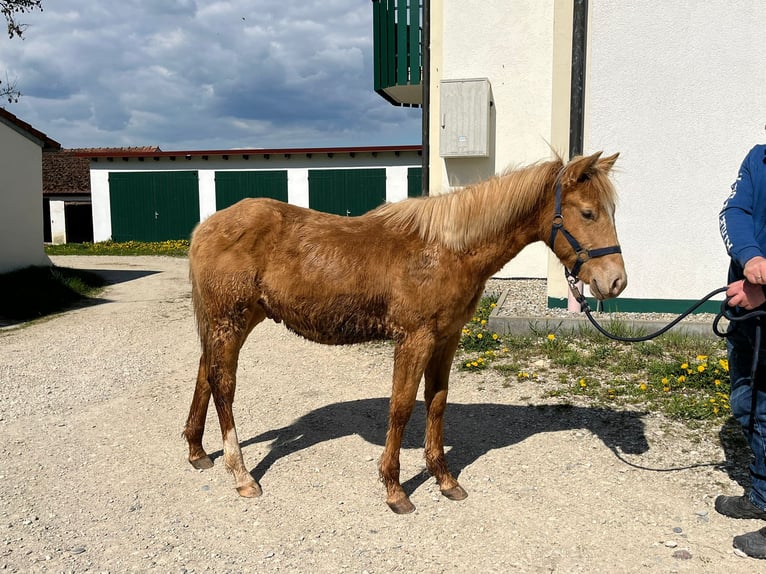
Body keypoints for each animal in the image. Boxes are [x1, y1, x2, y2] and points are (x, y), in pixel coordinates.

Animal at [183, 151, 627, 514]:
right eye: (588, 213)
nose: (615, 282)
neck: (448, 249)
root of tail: (205, 227)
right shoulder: (415, 338)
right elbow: (401, 408)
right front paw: (395, 489)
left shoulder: (447, 338)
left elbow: (437, 403)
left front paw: (445, 479)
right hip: (229, 320)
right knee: (223, 385)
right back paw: (241, 474)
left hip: (236, 321)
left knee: (205, 374)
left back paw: (196, 451)